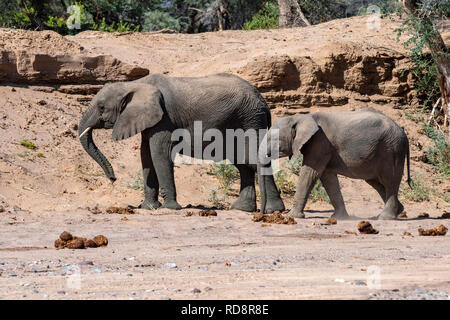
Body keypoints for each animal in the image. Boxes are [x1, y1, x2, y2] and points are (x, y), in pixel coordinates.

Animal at [78, 72, 284, 212]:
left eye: (101, 107)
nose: (113, 179)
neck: (134, 85)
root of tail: (264, 103)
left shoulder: (164, 118)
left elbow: (159, 154)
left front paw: (169, 208)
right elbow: (146, 156)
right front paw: (148, 207)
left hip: (249, 120)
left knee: (253, 159)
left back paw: (273, 210)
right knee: (244, 163)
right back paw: (242, 209)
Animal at [268, 108, 412, 220]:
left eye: (272, 139)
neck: (301, 117)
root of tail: (404, 133)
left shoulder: (320, 143)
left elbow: (310, 173)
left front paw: (291, 217)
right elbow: (328, 178)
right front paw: (339, 218)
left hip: (391, 150)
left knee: (389, 181)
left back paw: (385, 217)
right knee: (376, 183)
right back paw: (399, 211)